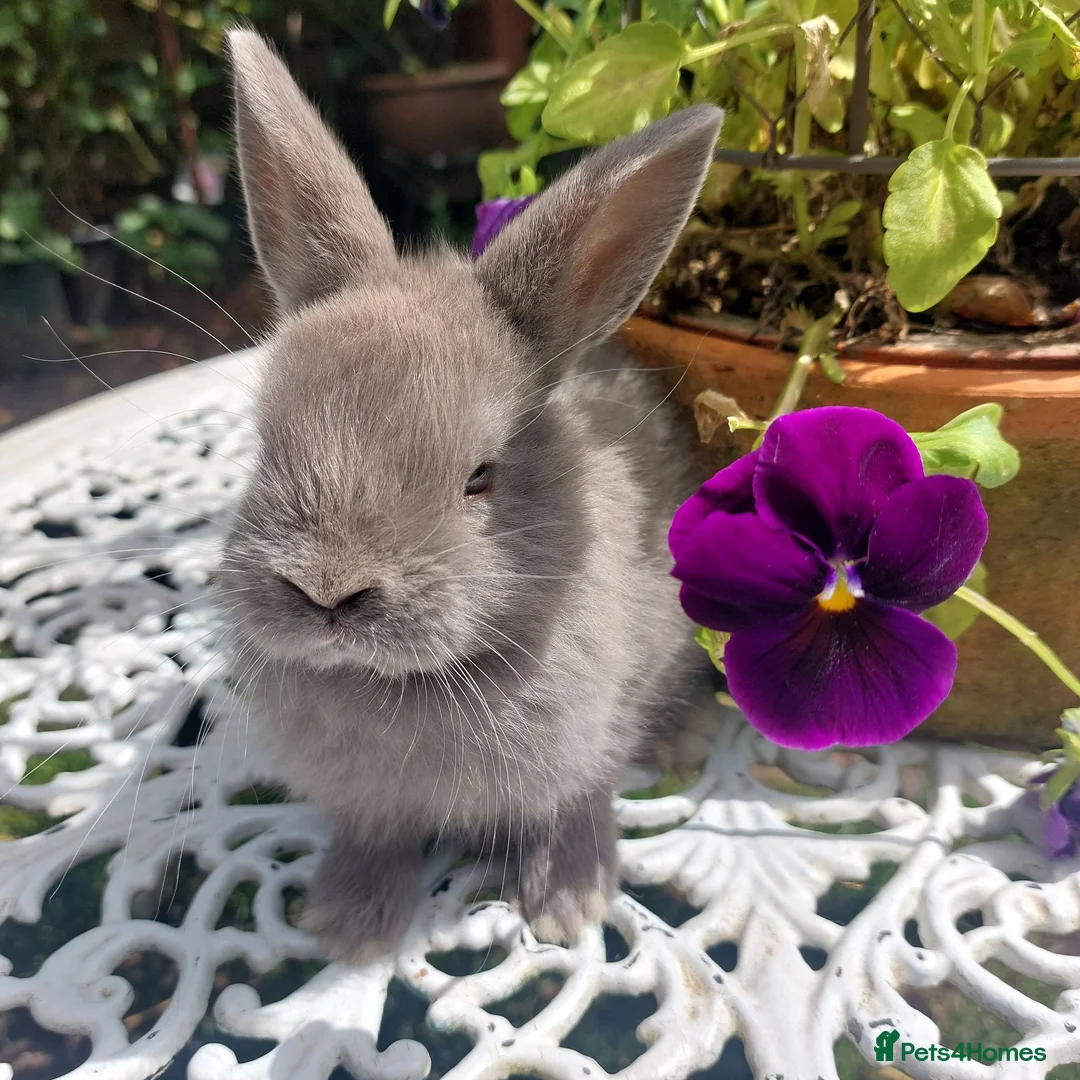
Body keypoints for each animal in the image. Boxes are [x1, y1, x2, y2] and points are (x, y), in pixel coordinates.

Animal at [218, 28, 724, 964]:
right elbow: (374, 834)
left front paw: (568, 906)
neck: (409, 682)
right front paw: (348, 924)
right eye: (267, 442)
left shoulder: (590, 735)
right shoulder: (367, 802)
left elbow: (577, 803)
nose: (326, 590)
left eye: (481, 476)